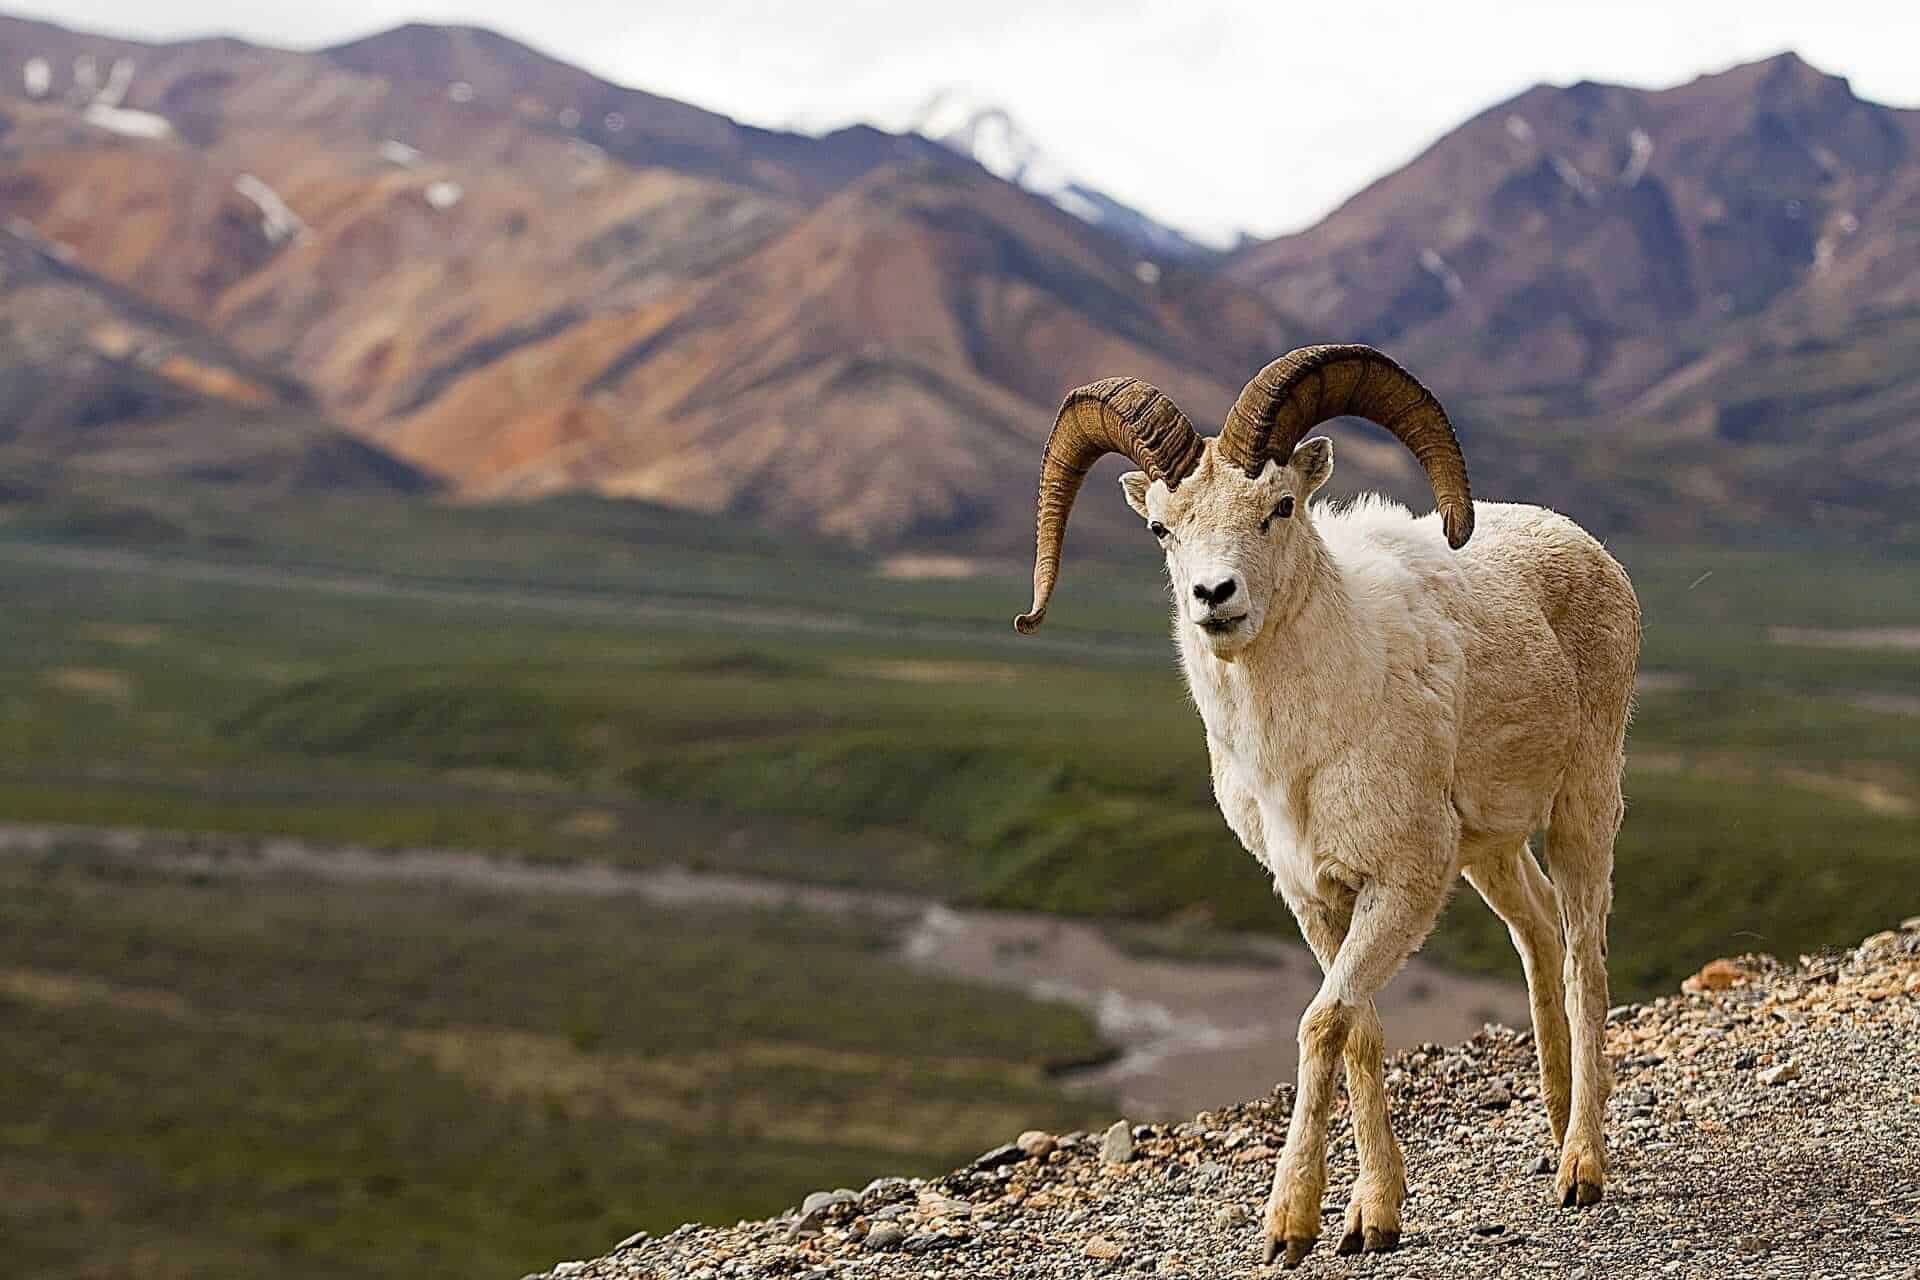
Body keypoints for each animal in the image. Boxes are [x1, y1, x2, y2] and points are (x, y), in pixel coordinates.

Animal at [1012, 345, 1639, 1267]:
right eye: (1162, 529)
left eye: (1279, 506)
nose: (1214, 597)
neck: (1299, 756)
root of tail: (1587, 551)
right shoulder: (1315, 896)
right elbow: (1362, 1032)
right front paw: (1372, 1220)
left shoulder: (1402, 885)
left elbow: (1321, 1025)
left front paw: (1291, 1228)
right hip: (1490, 850)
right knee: (1537, 931)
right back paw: (1553, 1130)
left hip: (1582, 808)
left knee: (1584, 959)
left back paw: (1581, 1170)